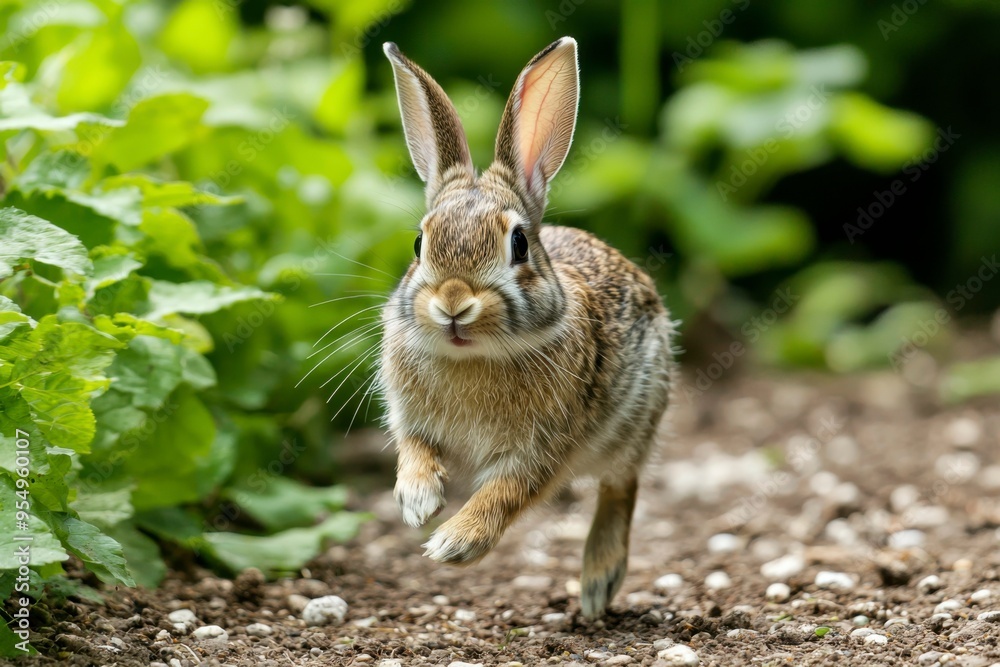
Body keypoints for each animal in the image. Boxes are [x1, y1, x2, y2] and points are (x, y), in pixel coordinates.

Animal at [379, 36, 676, 618]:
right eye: (419, 243)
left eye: (518, 244)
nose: (453, 302)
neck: (472, 357)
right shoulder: (409, 417)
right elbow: (414, 450)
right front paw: (418, 501)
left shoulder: (545, 446)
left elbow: (507, 490)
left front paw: (454, 542)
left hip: (637, 417)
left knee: (620, 486)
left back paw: (597, 584)